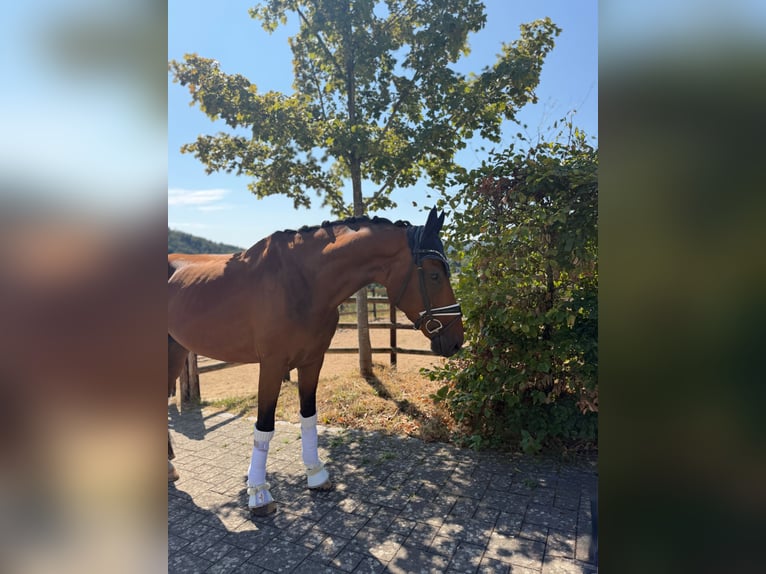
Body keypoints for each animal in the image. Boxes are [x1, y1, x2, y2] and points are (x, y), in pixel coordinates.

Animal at [168, 208, 463, 515]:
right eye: (434, 275)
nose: (457, 340)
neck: (303, 282)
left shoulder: (312, 360)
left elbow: (308, 416)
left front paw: (316, 474)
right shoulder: (272, 365)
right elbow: (264, 426)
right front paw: (259, 494)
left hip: (175, 349)